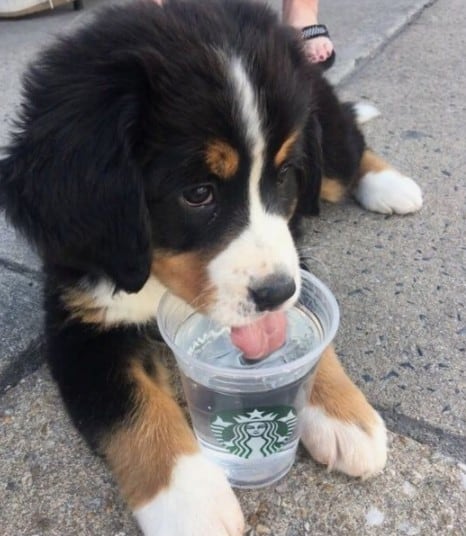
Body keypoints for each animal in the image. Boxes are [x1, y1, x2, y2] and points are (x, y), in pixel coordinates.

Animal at [0, 1, 422, 534]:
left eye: (283, 176)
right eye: (198, 193)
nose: (275, 291)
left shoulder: (294, 251)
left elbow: (310, 339)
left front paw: (346, 415)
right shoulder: (80, 324)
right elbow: (133, 409)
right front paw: (191, 501)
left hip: (325, 149)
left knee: (348, 146)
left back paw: (392, 186)